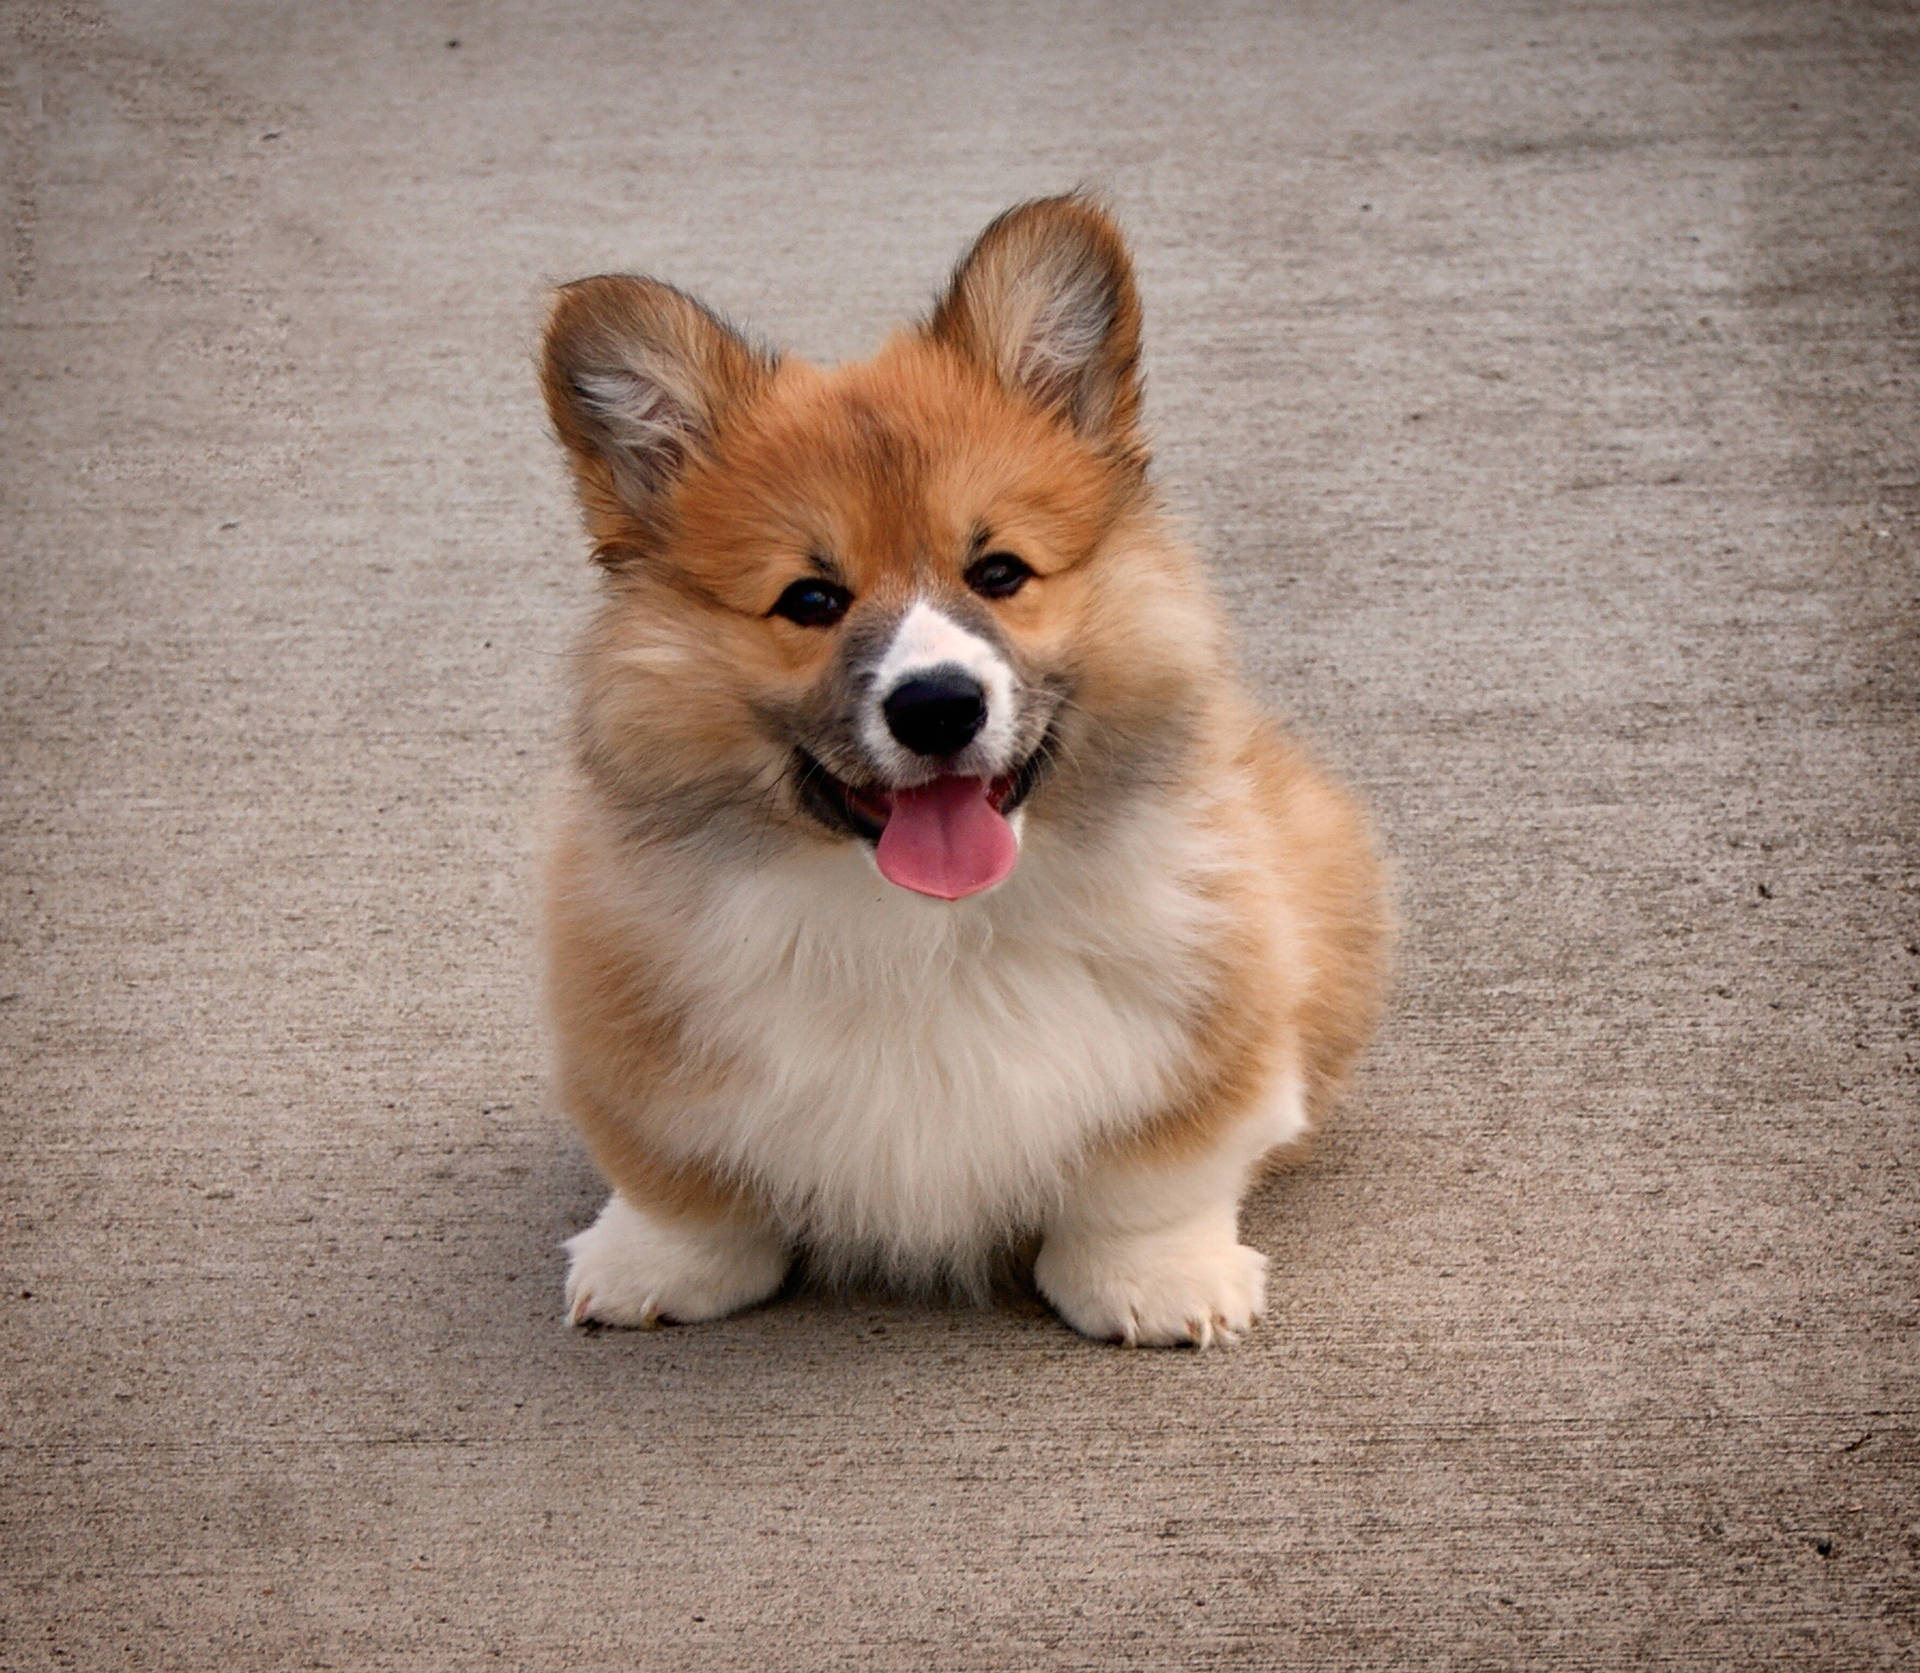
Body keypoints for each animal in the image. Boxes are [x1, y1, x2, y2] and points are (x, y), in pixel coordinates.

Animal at [533, 195, 1390, 1344]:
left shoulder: (1217, 1018)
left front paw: (1155, 1278)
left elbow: (1154, 1172)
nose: (938, 704)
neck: (923, 931)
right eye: (811, 599)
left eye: (999, 572)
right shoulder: (630, 1038)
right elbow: (679, 1180)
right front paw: (654, 1264)